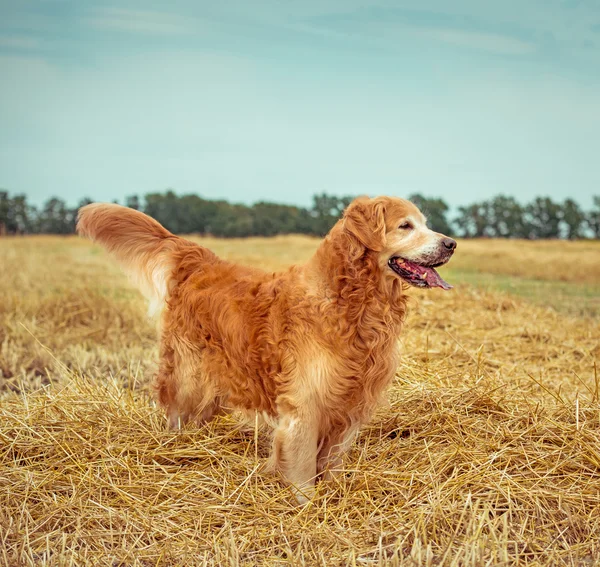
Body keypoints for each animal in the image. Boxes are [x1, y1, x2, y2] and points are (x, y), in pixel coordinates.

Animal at [77, 195, 458, 502]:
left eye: (425, 224)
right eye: (406, 226)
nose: (451, 243)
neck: (351, 303)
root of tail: (199, 258)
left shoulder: (352, 403)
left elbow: (333, 461)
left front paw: (334, 495)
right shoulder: (305, 404)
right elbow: (302, 467)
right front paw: (306, 506)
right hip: (189, 375)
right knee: (174, 411)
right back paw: (176, 445)